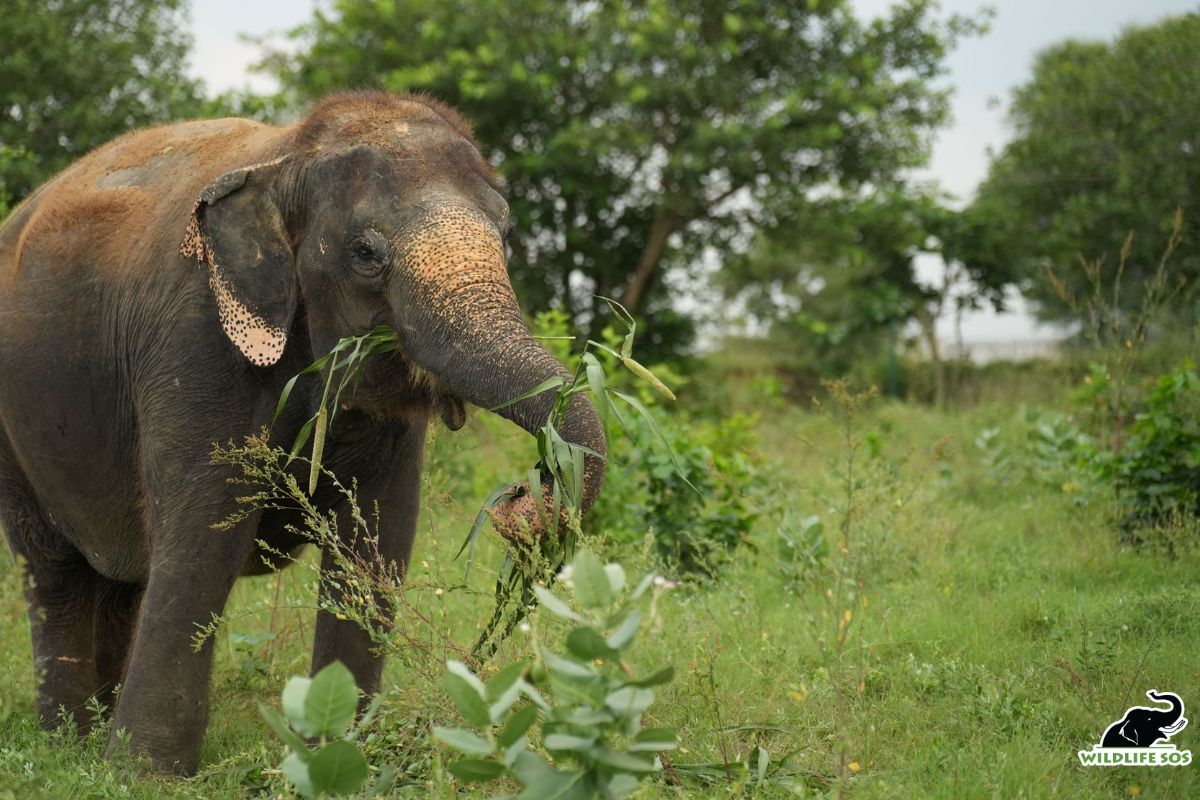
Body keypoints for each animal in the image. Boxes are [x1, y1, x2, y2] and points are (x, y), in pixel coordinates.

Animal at [0, 91, 606, 774]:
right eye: (366, 254)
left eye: (505, 237)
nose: (526, 495)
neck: (289, 155)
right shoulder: (194, 337)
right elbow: (205, 534)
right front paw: (144, 774)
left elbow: (378, 539)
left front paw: (339, 757)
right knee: (52, 571)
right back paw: (66, 747)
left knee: (118, 580)